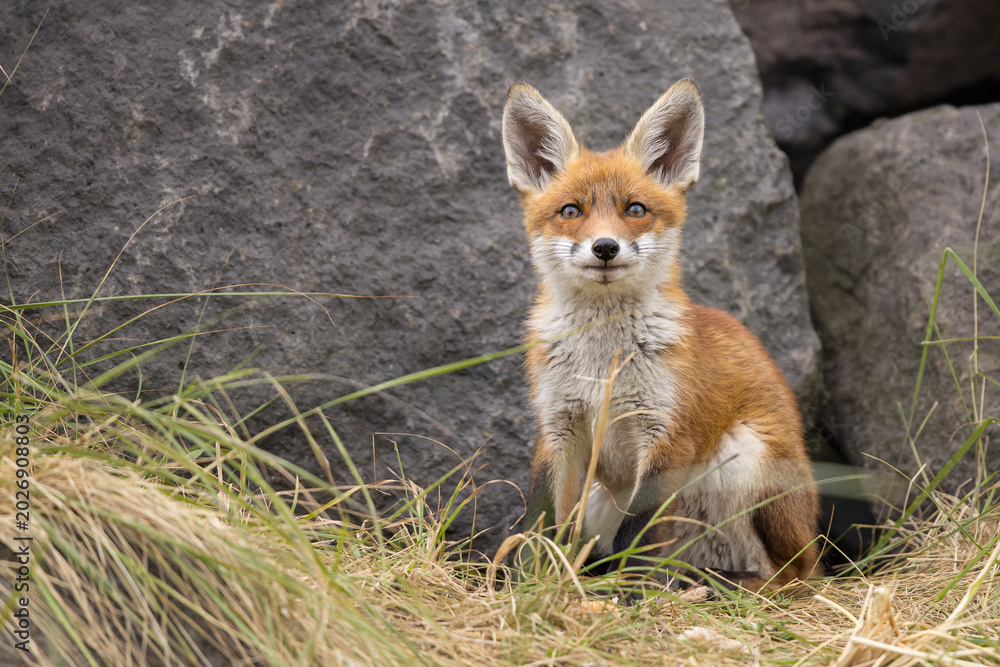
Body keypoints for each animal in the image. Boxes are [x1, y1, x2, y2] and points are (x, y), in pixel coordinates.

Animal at [502, 79, 819, 592]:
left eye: (635, 209)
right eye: (571, 210)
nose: (605, 247)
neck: (604, 364)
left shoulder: (666, 433)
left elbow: (637, 534)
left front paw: (627, 594)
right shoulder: (558, 427)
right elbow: (541, 524)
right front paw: (529, 584)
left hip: (745, 455)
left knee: (787, 578)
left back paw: (709, 586)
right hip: (599, 494)